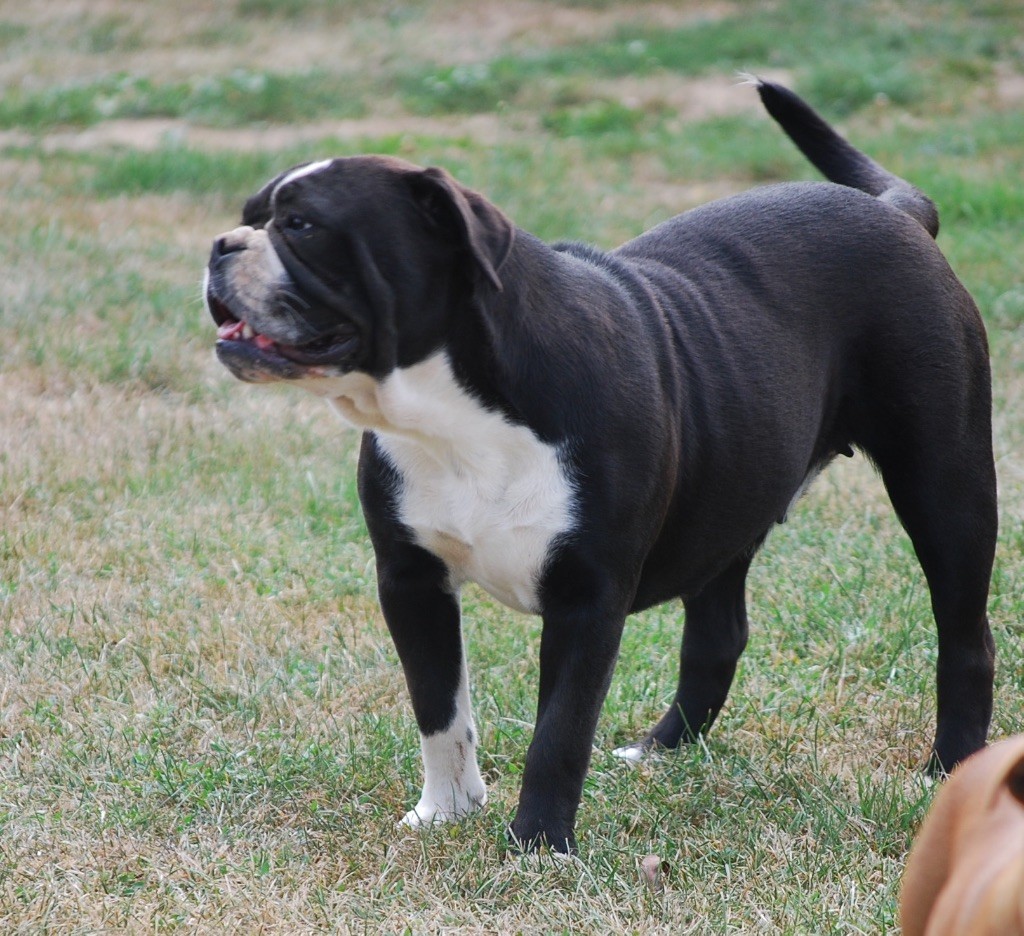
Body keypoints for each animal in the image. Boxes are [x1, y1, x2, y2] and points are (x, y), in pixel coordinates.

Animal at [203, 81, 997, 853]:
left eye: (301, 226)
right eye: (249, 216)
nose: (220, 244)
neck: (454, 412)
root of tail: (894, 212)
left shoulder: (587, 597)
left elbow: (559, 730)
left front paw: (537, 846)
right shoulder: (411, 578)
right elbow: (438, 708)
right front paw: (447, 811)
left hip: (945, 484)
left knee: (963, 633)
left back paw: (950, 767)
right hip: (729, 497)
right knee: (717, 632)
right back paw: (662, 750)